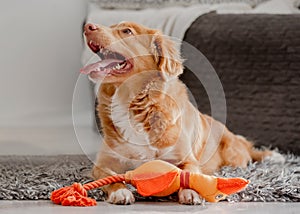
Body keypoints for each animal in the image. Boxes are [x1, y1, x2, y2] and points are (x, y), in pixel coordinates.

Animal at [80, 20, 284, 205]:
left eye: (127, 31)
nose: (87, 26)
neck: (132, 103)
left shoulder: (187, 159)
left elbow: (188, 174)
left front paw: (191, 193)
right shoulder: (103, 163)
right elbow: (109, 179)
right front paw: (120, 191)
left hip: (235, 157)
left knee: (250, 155)